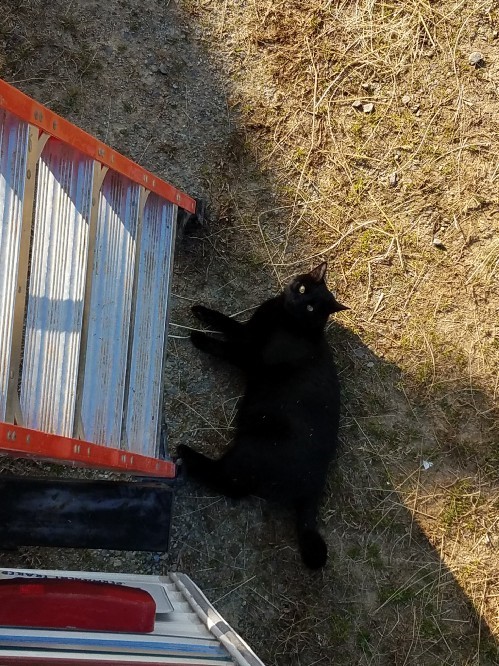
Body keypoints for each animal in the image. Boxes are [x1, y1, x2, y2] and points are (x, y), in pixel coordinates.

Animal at [179, 262, 348, 568]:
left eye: (311, 308)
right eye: (303, 289)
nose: (297, 300)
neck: (282, 317)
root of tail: (315, 485)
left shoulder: (250, 356)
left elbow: (226, 347)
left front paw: (199, 338)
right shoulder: (249, 331)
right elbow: (227, 322)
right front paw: (202, 311)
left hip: (250, 448)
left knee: (228, 482)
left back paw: (186, 453)